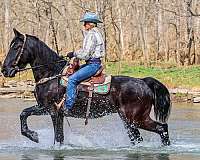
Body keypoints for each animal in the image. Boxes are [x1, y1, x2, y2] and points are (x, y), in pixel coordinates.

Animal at [0, 29, 171, 146]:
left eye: (16, 47)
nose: (4, 70)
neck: (51, 74)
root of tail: (144, 82)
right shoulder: (52, 111)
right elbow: (54, 134)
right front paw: (35, 136)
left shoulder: (51, 110)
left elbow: (27, 117)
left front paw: (34, 136)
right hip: (130, 121)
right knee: (148, 134)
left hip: (135, 119)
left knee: (161, 128)